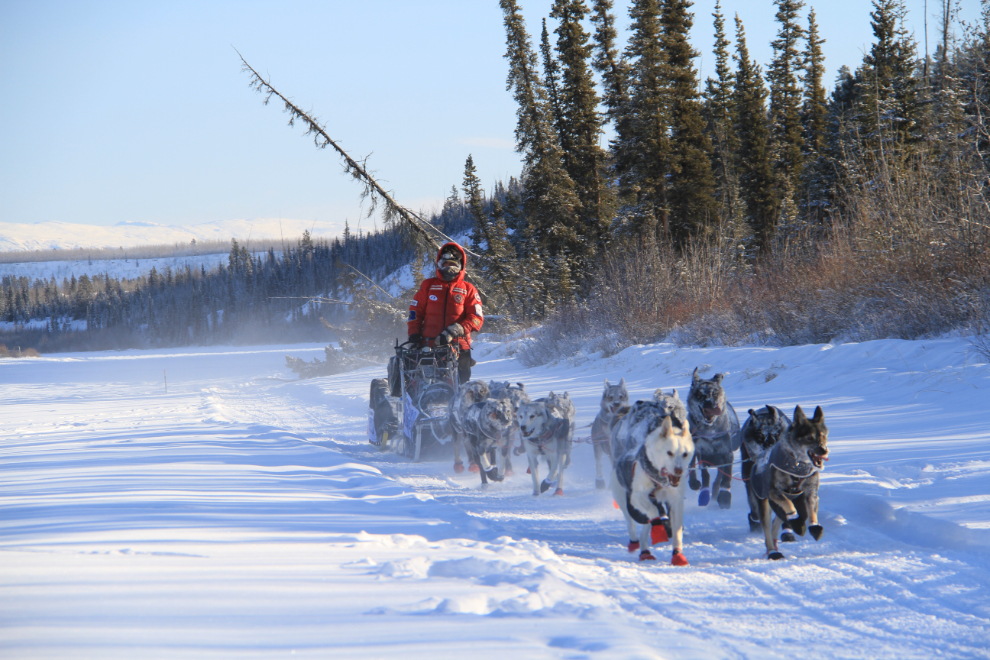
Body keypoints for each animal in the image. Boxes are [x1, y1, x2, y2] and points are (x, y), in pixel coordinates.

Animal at [612, 400, 696, 564]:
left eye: (685, 454)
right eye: (669, 453)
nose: (678, 470)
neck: (660, 479)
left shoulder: (675, 501)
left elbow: (677, 531)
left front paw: (677, 554)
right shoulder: (637, 496)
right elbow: (654, 513)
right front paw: (659, 529)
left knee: (646, 526)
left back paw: (645, 550)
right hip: (623, 499)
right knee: (632, 521)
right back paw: (636, 543)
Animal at [688, 368, 744, 508]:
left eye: (715, 393)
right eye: (700, 394)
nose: (709, 402)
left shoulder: (727, 454)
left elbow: (726, 476)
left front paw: (724, 496)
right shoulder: (701, 452)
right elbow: (705, 474)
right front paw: (704, 493)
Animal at [752, 404, 828, 560]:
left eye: (823, 435)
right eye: (810, 438)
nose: (824, 450)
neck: (798, 466)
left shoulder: (811, 491)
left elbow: (812, 508)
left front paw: (814, 526)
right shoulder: (774, 492)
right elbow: (788, 504)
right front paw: (798, 523)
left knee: (777, 522)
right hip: (764, 502)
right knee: (768, 528)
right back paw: (773, 551)